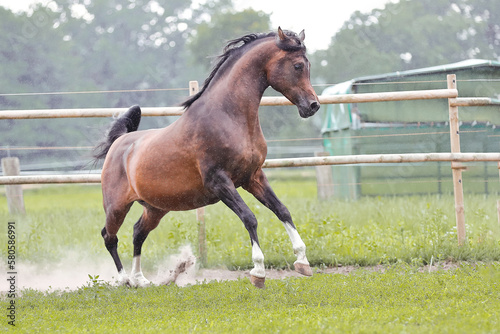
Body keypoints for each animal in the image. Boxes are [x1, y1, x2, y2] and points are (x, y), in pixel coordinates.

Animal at [94, 26, 320, 288]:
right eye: (298, 66)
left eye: (308, 64)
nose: (313, 106)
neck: (228, 116)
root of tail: (119, 143)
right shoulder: (219, 182)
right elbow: (249, 217)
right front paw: (258, 272)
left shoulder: (253, 177)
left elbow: (282, 210)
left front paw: (302, 262)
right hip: (116, 206)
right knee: (109, 236)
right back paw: (124, 280)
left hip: (156, 208)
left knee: (138, 232)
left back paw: (140, 279)